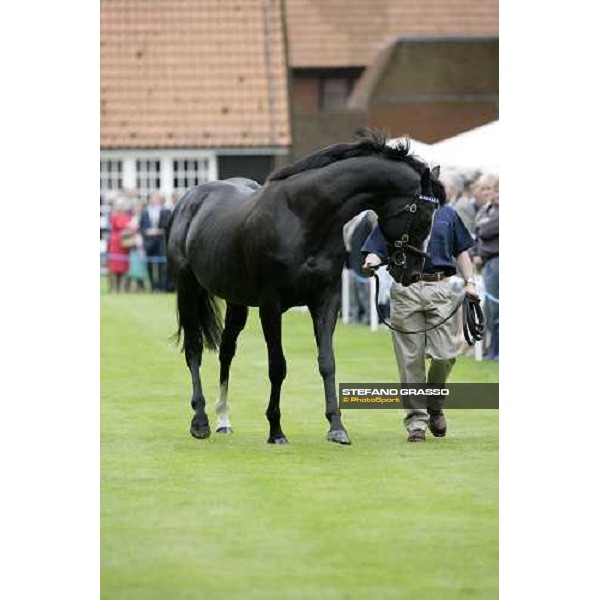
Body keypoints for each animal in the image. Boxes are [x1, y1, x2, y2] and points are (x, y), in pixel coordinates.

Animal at [166, 134, 442, 448]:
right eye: (424, 216)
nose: (413, 273)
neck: (303, 216)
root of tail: (189, 200)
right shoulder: (270, 304)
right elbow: (277, 366)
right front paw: (276, 430)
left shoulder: (326, 300)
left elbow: (327, 362)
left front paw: (337, 427)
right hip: (188, 290)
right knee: (194, 349)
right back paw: (200, 421)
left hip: (236, 300)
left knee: (226, 351)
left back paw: (223, 419)